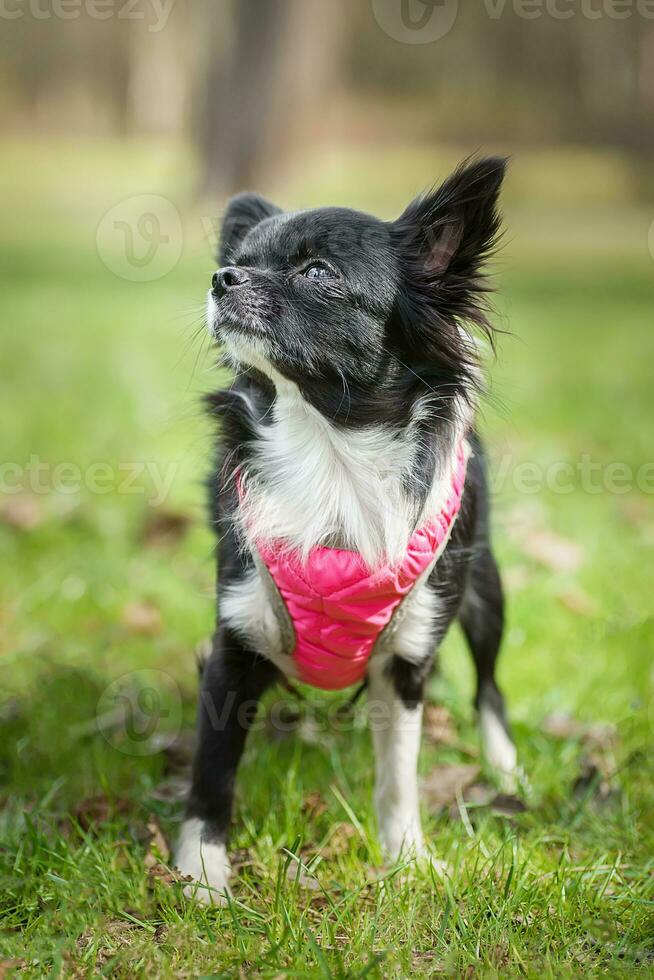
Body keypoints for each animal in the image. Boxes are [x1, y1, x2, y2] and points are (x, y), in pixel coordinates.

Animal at [177, 155, 516, 904]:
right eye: (240, 260)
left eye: (317, 273)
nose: (221, 278)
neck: (330, 452)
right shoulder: (235, 640)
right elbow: (212, 770)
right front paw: (201, 873)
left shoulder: (407, 660)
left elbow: (398, 777)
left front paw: (408, 860)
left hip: (485, 594)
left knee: (489, 686)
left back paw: (507, 769)